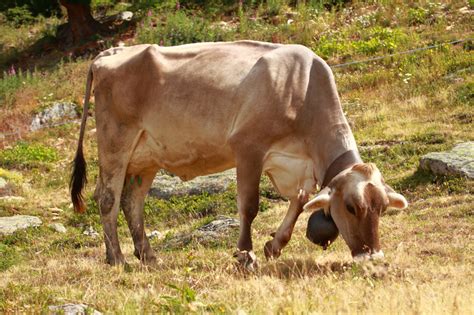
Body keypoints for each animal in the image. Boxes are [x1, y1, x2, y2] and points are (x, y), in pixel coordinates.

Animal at [70, 40, 408, 270]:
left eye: (381, 208)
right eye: (350, 207)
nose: (372, 255)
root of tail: (110, 53)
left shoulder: (294, 166)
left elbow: (299, 202)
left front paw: (274, 245)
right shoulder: (248, 147)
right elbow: (249, 206)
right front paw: (246, 255)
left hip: (146, 156)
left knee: (132, 201)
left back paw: (149, 257)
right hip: (116, 140)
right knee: (108, 198)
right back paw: (116, 259)